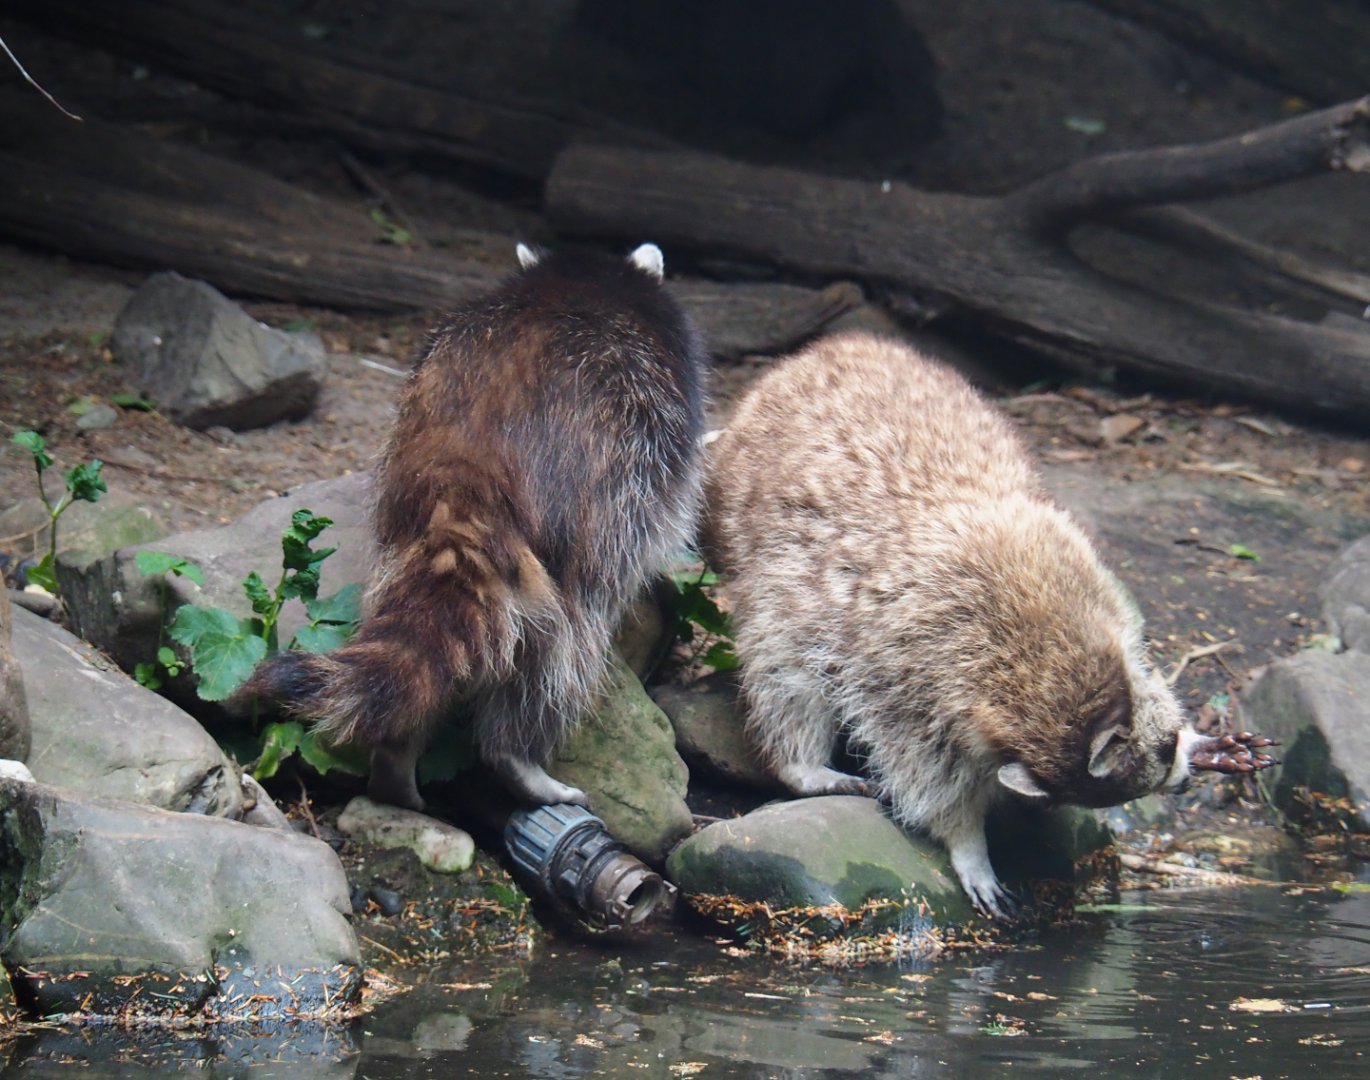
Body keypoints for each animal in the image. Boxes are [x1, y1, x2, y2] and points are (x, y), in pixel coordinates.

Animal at [243, 243, 707, 810]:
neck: (583, 274)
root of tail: (464, 468)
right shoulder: (661, 431)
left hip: (400, 493)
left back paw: (397, 754)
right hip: (600, 497)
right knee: (570, 637)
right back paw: (518, 751)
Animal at [707, 331, 1199, 917]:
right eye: (1160, 755)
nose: (1183, 780)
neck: (1046, 667)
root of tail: (831, 349)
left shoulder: (1079, 573)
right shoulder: (907, 673)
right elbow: (923, 774)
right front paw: (967, 840)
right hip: (770, 558)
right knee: (785, 663)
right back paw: (799, 764)